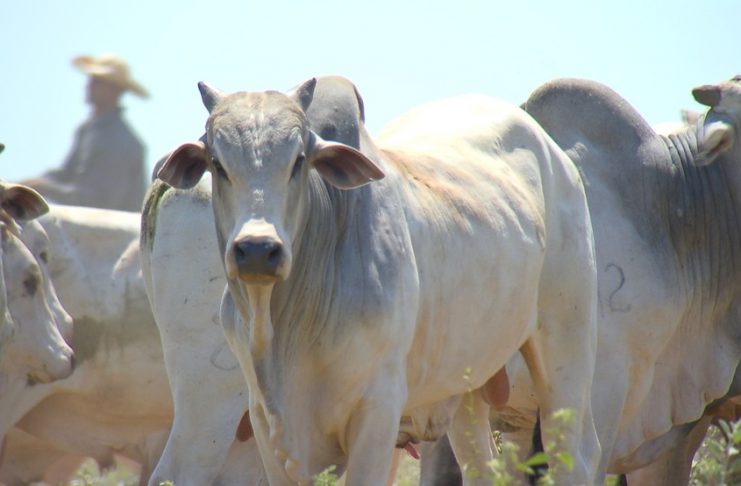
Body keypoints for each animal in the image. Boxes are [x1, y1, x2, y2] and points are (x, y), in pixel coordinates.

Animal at [156, 77, 601, 485]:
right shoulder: (267, 423)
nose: (257, 249)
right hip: (465, 386)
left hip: (566, 344)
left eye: (299, 160)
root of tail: (556, 155)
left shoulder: (378, 408)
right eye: (217, 164)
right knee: (481, 467)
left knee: (576, 453)